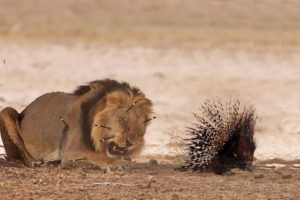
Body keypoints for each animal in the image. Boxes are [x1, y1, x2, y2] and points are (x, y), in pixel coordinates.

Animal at [0, 79, 154, 168]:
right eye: (124, 120)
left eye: (141, 128)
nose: (131, 143)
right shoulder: (72, 149)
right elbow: (97, 156)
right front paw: (118, 163)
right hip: (6, 111)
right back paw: (35, 162)